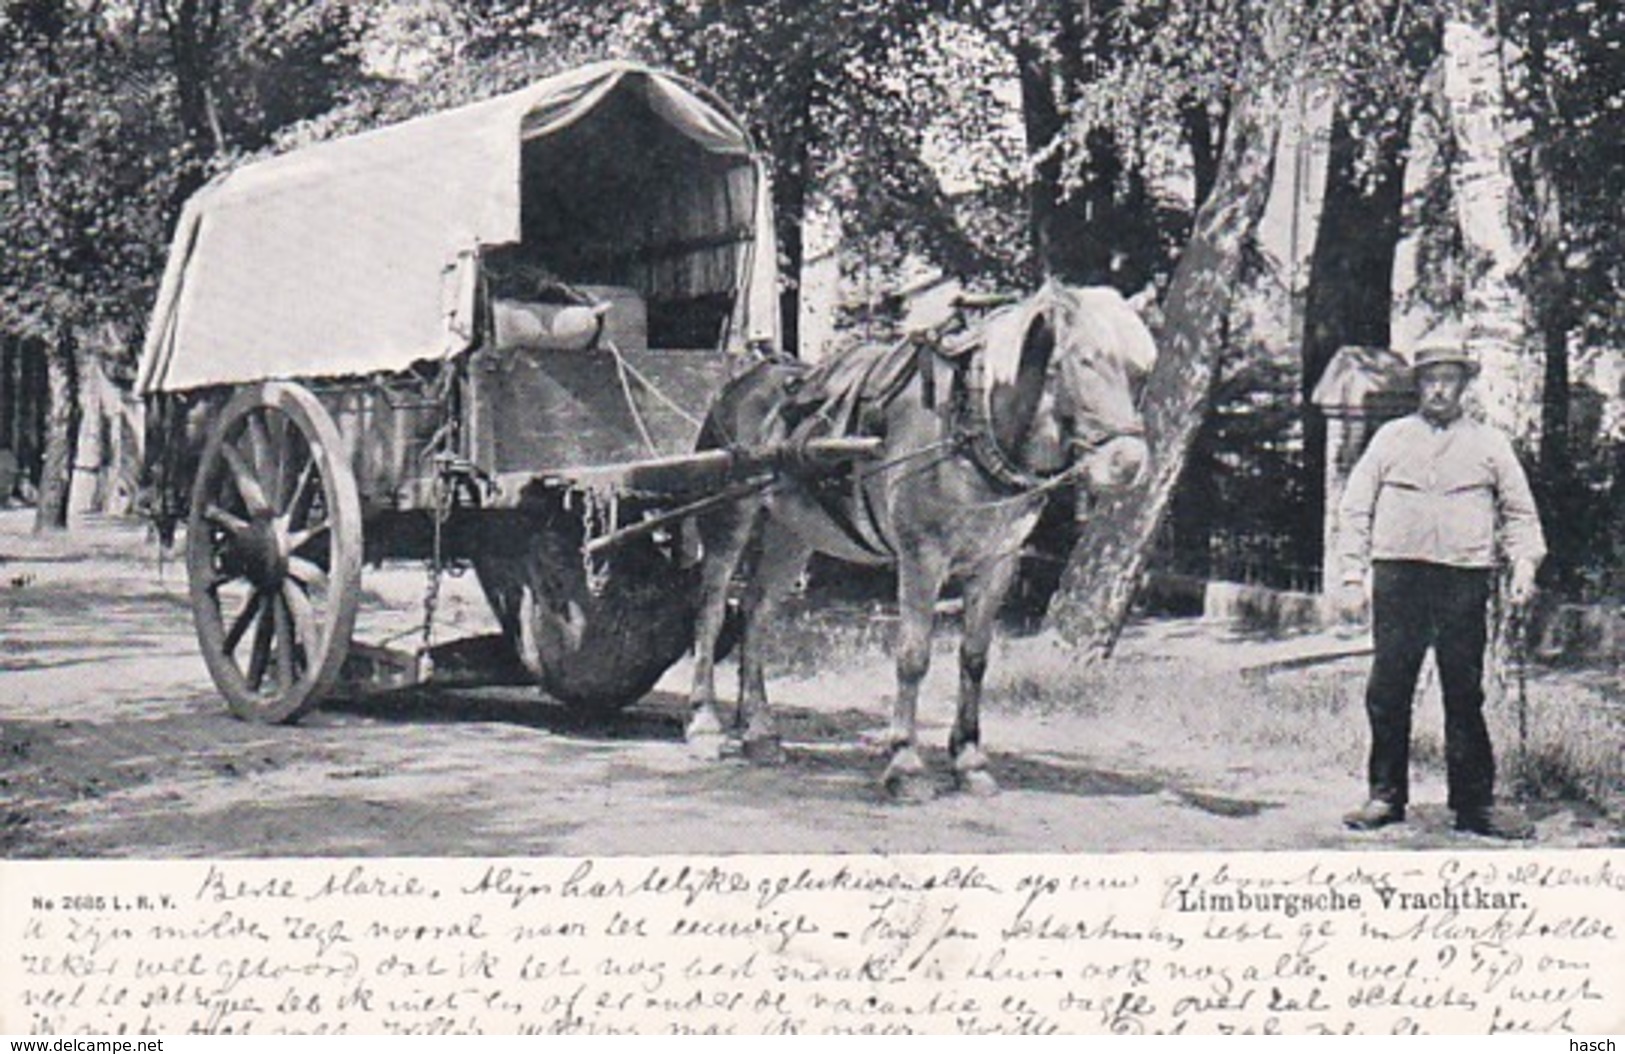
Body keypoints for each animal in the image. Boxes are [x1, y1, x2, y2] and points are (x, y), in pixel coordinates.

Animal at [682, 279, 1157, 799]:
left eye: (1142, 370)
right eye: (1083, 360)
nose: (1129, 464)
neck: (969, 422)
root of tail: (742, 383)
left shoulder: (998, 562)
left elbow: (974, 658)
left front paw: (969, 760)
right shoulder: (921, 556)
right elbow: (913, 656)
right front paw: (905, 763)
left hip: (793, 533)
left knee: (757, 613)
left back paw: (760, 731)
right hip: (730, 520)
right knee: (711, 611)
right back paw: (704, 722)